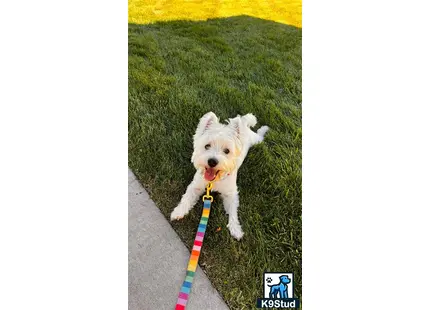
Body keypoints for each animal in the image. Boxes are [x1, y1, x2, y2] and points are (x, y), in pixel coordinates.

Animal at [171, 111, 268, 240]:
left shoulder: (231, 194)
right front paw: (178, 212)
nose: (212, 161)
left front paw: (235, 229)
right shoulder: (196, 186)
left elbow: (233, 211)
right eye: (207, 146)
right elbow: (186, 198)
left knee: (259, 135)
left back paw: (265, 129)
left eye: (227, 151)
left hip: (255, 139)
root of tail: (244, 123)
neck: (214, 180)